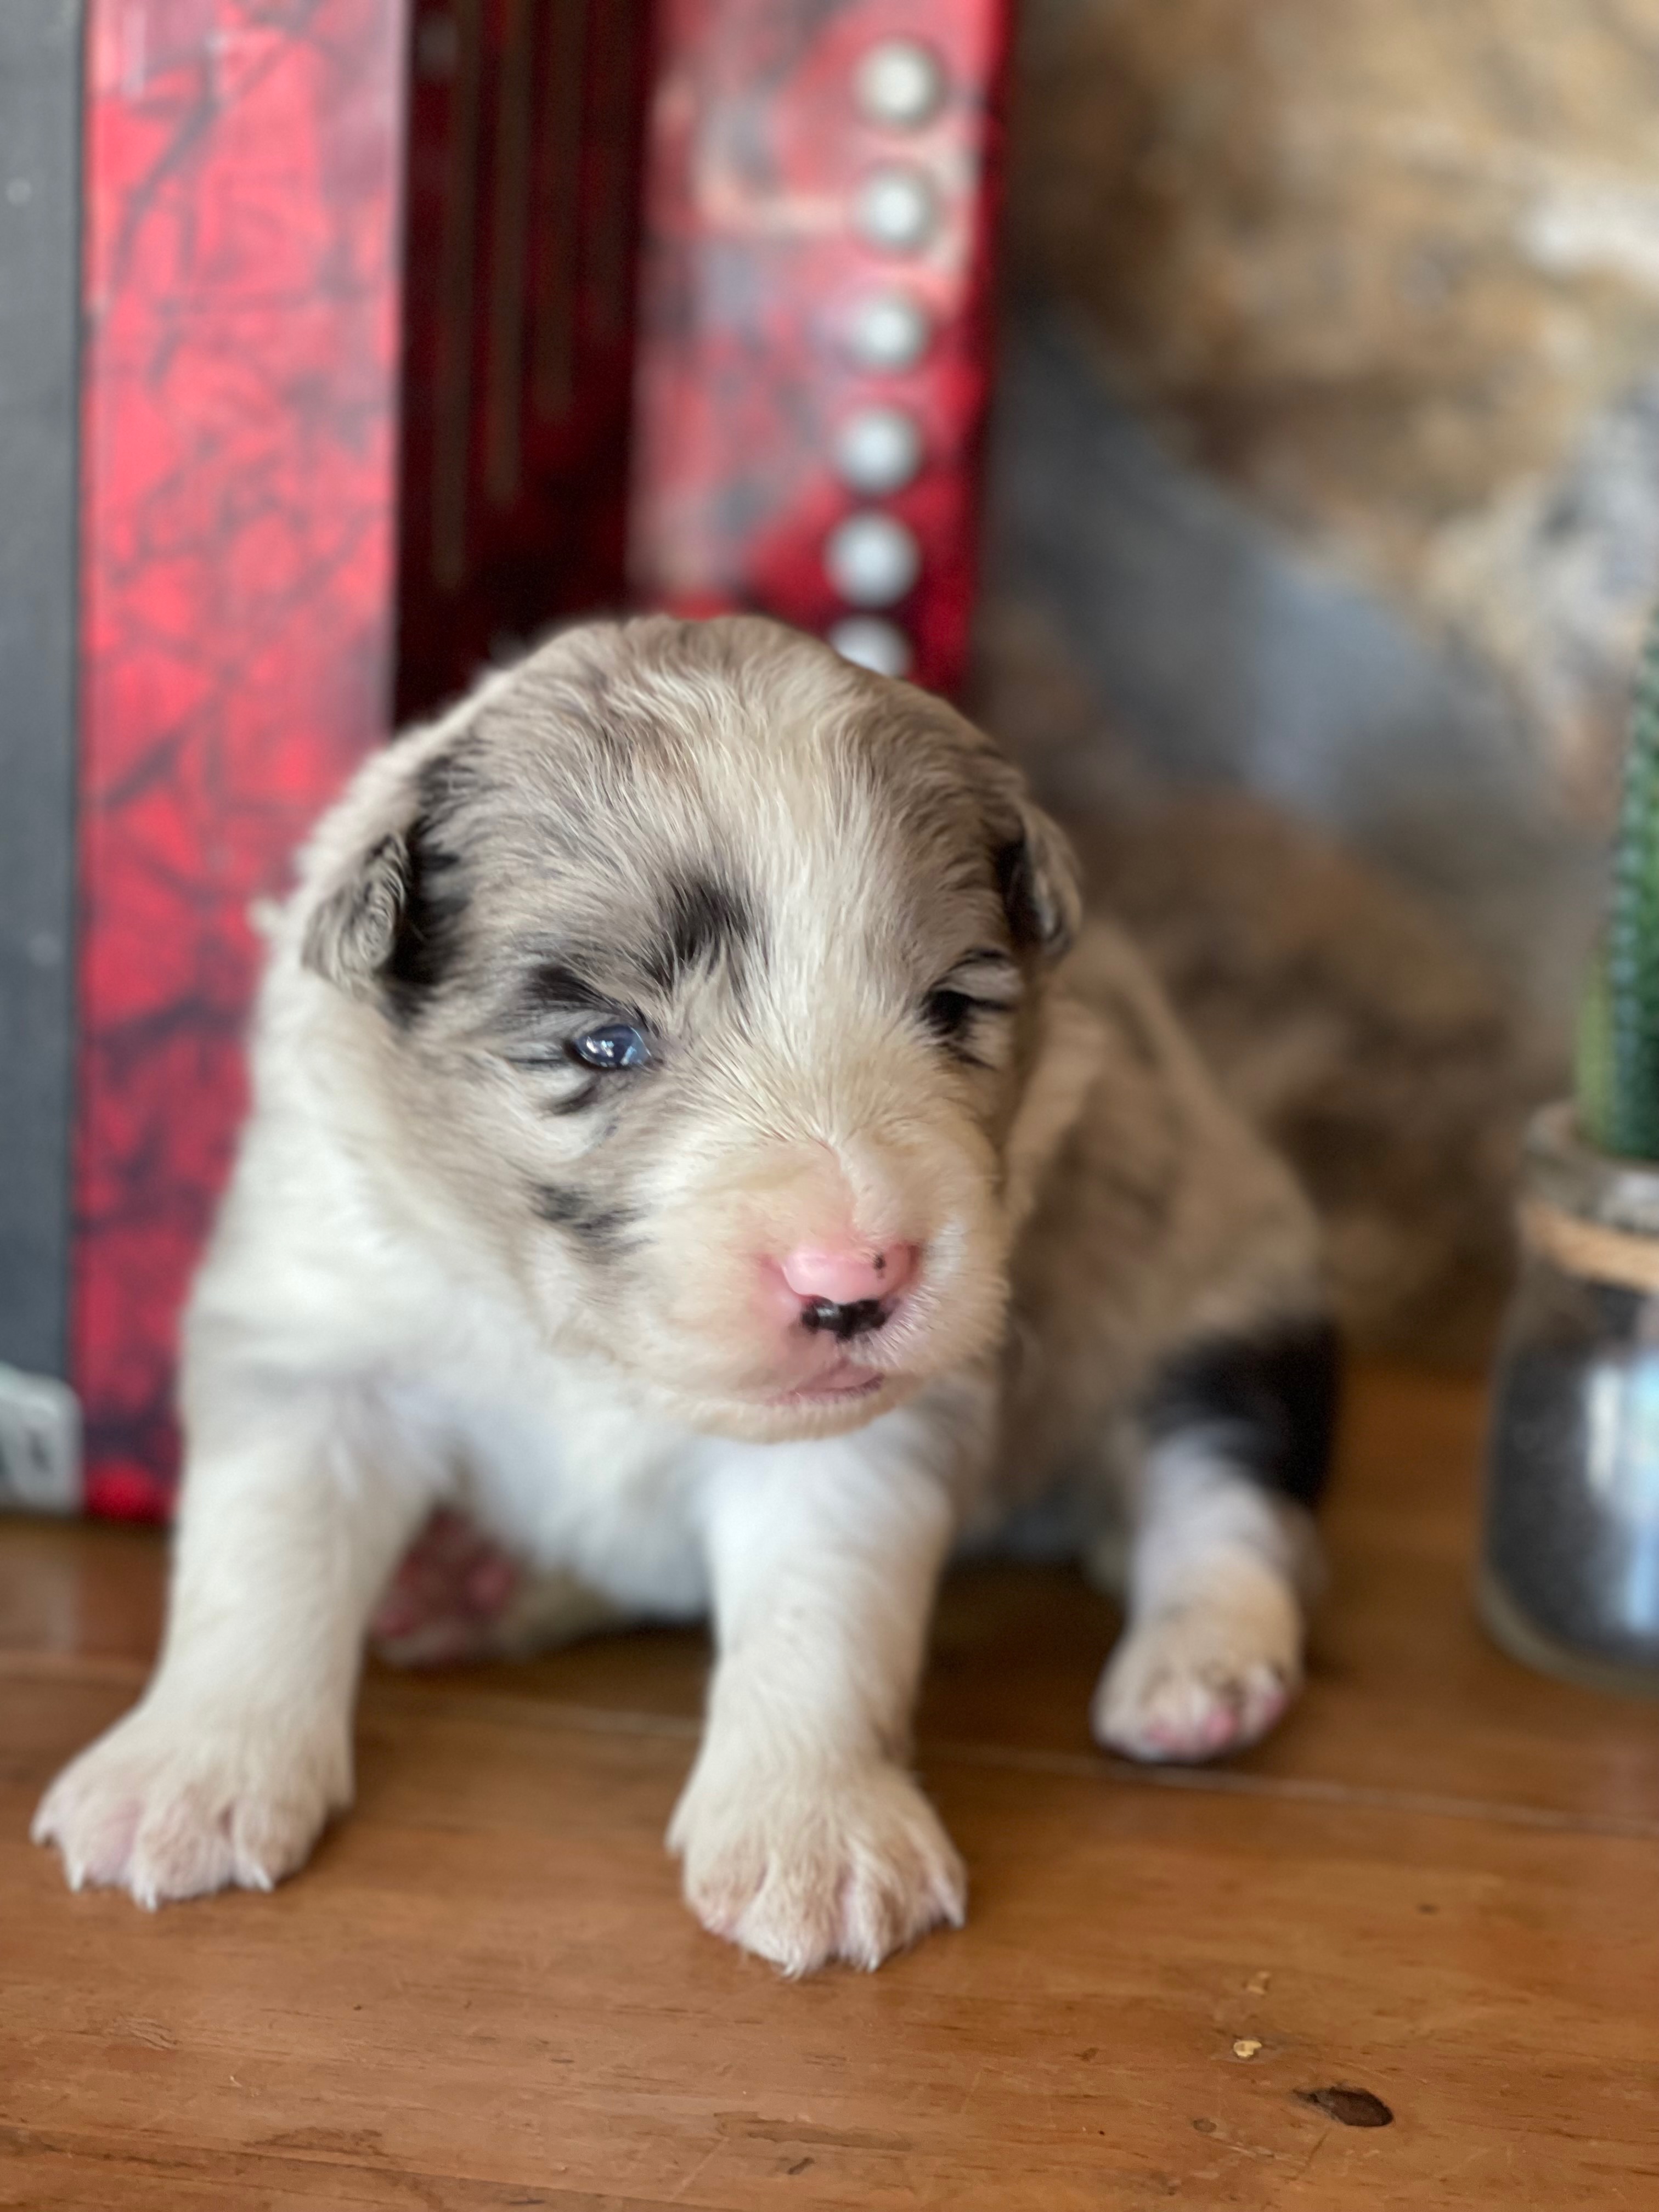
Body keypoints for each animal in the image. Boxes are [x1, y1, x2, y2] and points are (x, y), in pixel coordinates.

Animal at [36, 619, 1336, 1973]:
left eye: (950, 1009)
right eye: (605, 1043)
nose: (854, 1280)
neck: (585, 1346)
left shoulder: (859, 1443)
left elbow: (820, 1616)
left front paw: (817, 1839)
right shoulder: (318, 1336)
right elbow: (259, 1559)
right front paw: (187, 1774)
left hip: (1220, 1287)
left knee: (1224, 1496)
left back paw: (1198, 1673)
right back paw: (473, 1587)